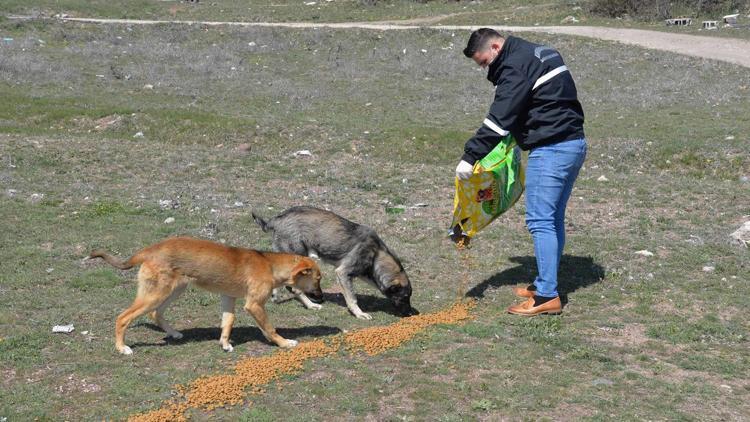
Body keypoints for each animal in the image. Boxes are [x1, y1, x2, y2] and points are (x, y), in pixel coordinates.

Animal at [88, 236, 324, 354]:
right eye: (318, 279)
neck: (270, 265)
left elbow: (228, 322)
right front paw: (284, 343)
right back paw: (122, 348)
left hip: (173, 291)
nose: (321, 298)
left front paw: (225, 344)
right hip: (156, 294)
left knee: (156, 314)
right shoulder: (254, 305)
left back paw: (174, 333)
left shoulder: (228, 298)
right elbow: (270, 328)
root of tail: (149, 250)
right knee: (123, 318)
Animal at [253, 206, 418, 318]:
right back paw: (311, 305)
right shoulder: (343, 273)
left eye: (409, 297)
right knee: (295, 289)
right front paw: (359, 314)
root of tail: (276, 219)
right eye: (404, 297)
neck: (376, 254)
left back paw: (277, 298)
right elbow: (352, 298)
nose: (411, 314)